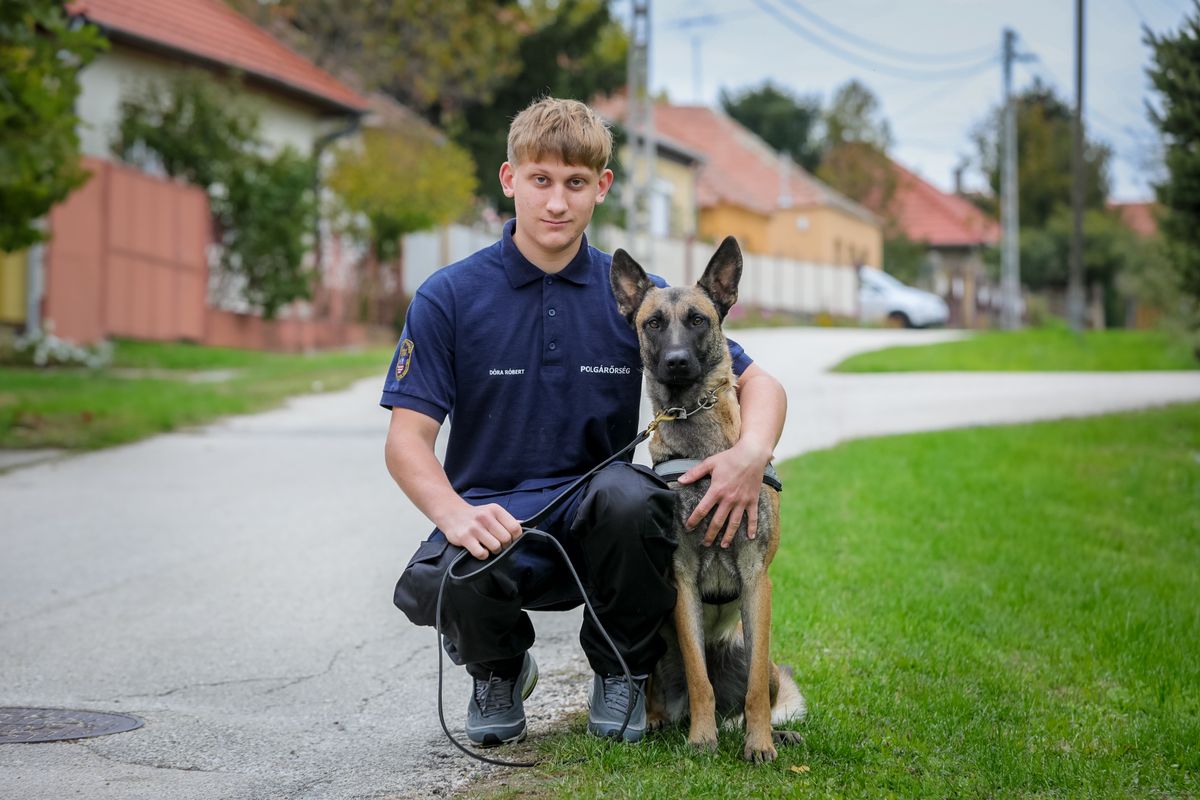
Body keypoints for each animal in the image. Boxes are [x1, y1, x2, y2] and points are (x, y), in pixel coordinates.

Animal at [609, 236, 806, 762]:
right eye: (653, 323)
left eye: (698, 319)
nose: (677, 361)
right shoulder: (683, 580)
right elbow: (700, 680)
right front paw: (701, 740)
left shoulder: (757, 579)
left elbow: (755, 689)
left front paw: (760, 744)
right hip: (658, 637)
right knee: (664, 685)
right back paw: (662, 719)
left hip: (755, 655)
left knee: (753, 691)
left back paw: (770, 732)